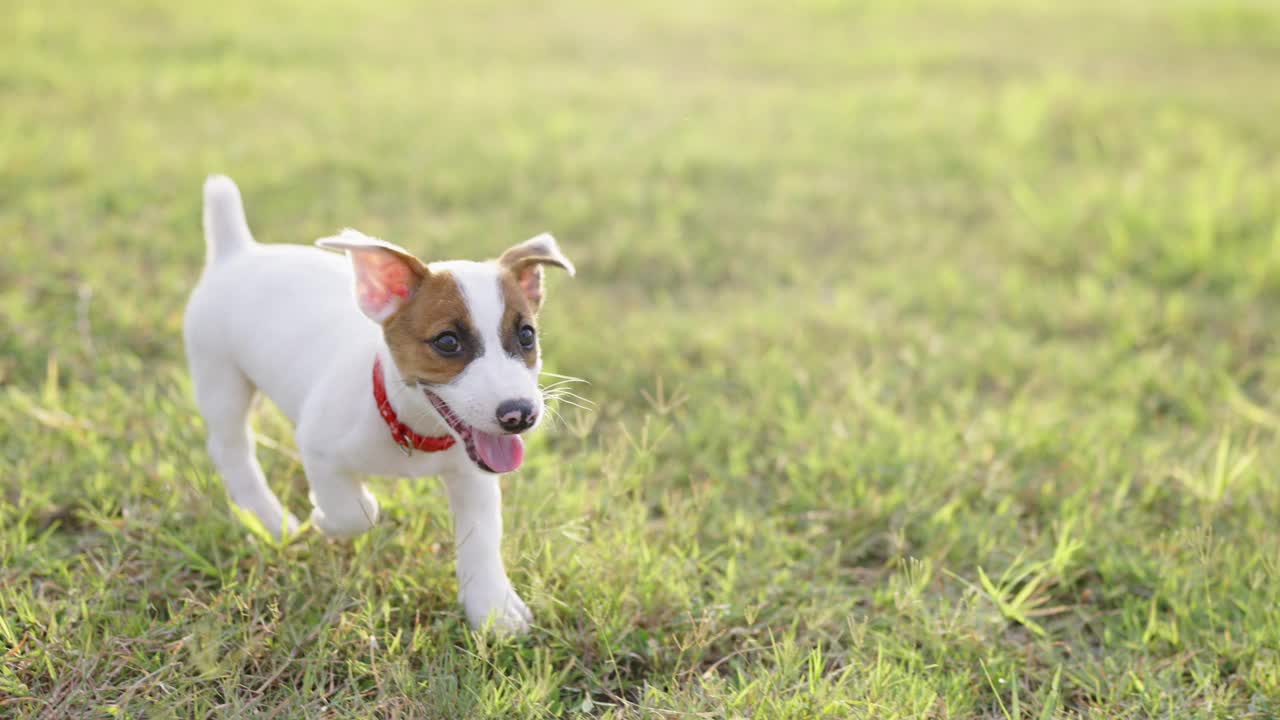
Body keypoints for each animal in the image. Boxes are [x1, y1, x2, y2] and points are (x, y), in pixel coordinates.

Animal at [181, 175, 576, 627]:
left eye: (526, 335)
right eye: (448, 342)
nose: (520, 415)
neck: (408, 426)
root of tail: (238, 250)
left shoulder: (473, 478)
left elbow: (482, 539)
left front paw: (493, 607)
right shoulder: (317, 448)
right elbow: (356, 511)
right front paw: (324, 517)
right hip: (220, 378)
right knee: (231, 449)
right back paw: (272, 520)